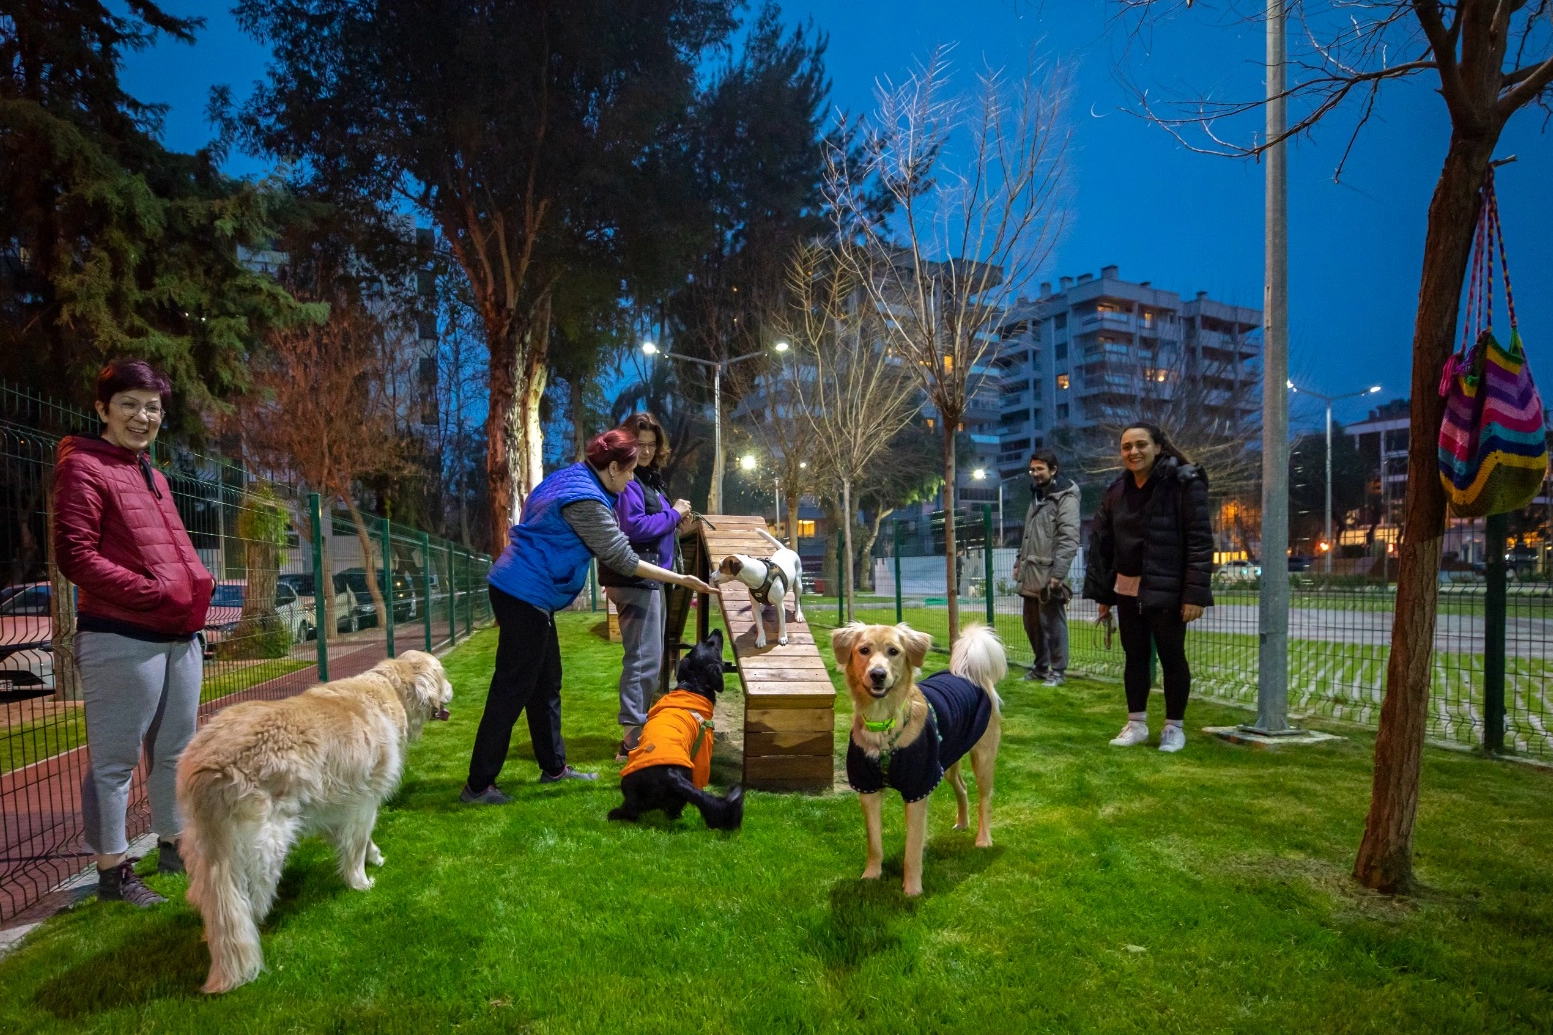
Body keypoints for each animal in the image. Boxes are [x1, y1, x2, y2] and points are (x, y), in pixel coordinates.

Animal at [178, 646, 453, 994]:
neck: (389, 688)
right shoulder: (364, 802)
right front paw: (360, 882)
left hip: (204, 853)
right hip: (264, 847)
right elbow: (356, 847)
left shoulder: (340, 806)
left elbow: (357, 842)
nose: (452, 690)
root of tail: (209, 762)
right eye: (443, 674)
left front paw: (374, 857)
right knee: (245, 905)